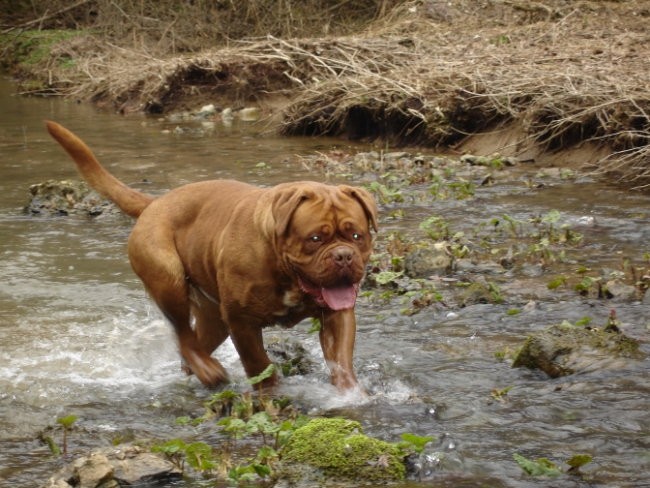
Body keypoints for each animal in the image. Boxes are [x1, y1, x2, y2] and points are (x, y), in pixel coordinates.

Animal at [45, 123, 374, 392]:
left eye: (357, 236)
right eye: (315, 239)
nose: (343, 256)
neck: (282, 267)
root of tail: (155, 202)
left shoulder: (336, 314)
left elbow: (341, 358)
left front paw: (350, 394)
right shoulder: (241, 321)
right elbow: (259, 364)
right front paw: (271, 393)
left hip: (212, 314)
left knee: (192, 341)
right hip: (167, 278)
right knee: (182, 333)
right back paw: (209, 371)